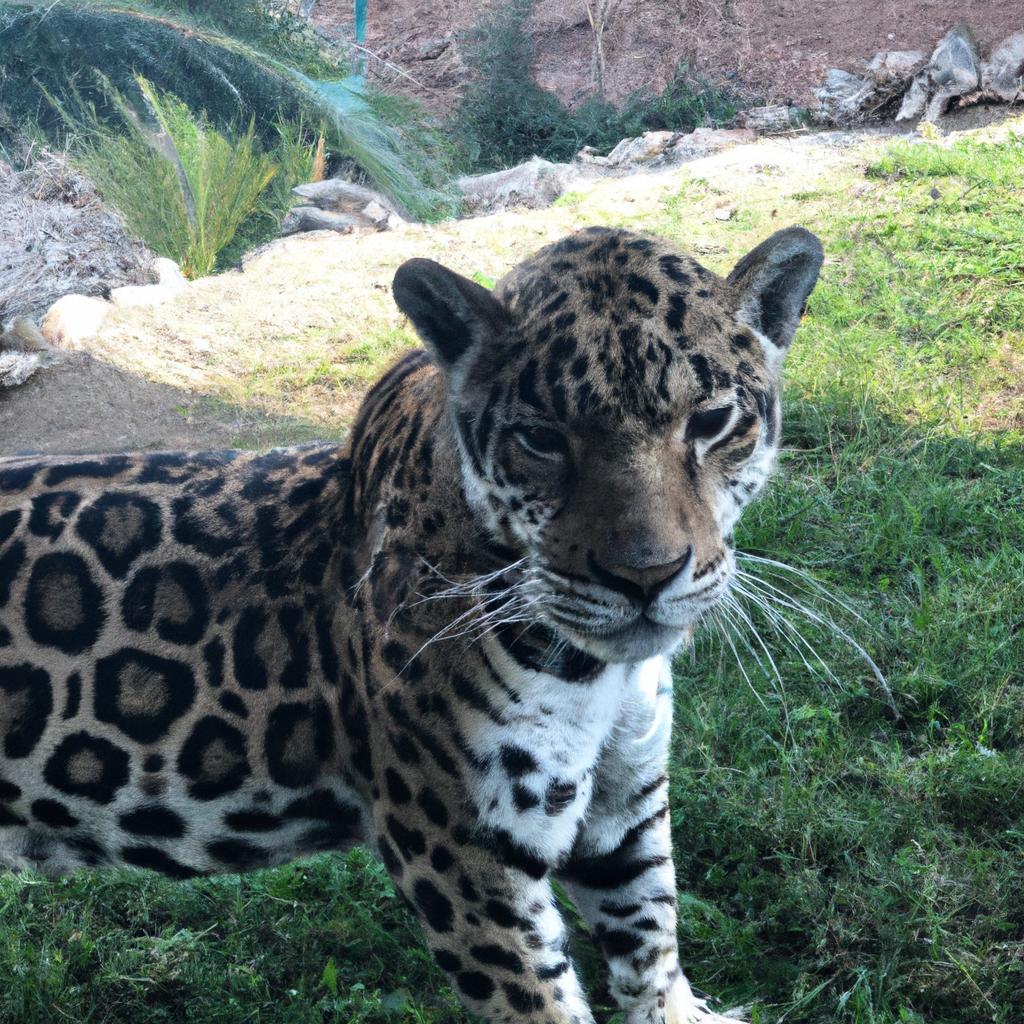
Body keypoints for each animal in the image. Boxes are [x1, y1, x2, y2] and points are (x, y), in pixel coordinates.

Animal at [0, 225, 823, 1024]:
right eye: (541, 438)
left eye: (712, 421)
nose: (647, 576)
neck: (601, 673)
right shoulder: (464, 856)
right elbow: (547, 1004)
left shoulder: (625, 805)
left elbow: (652, 948)